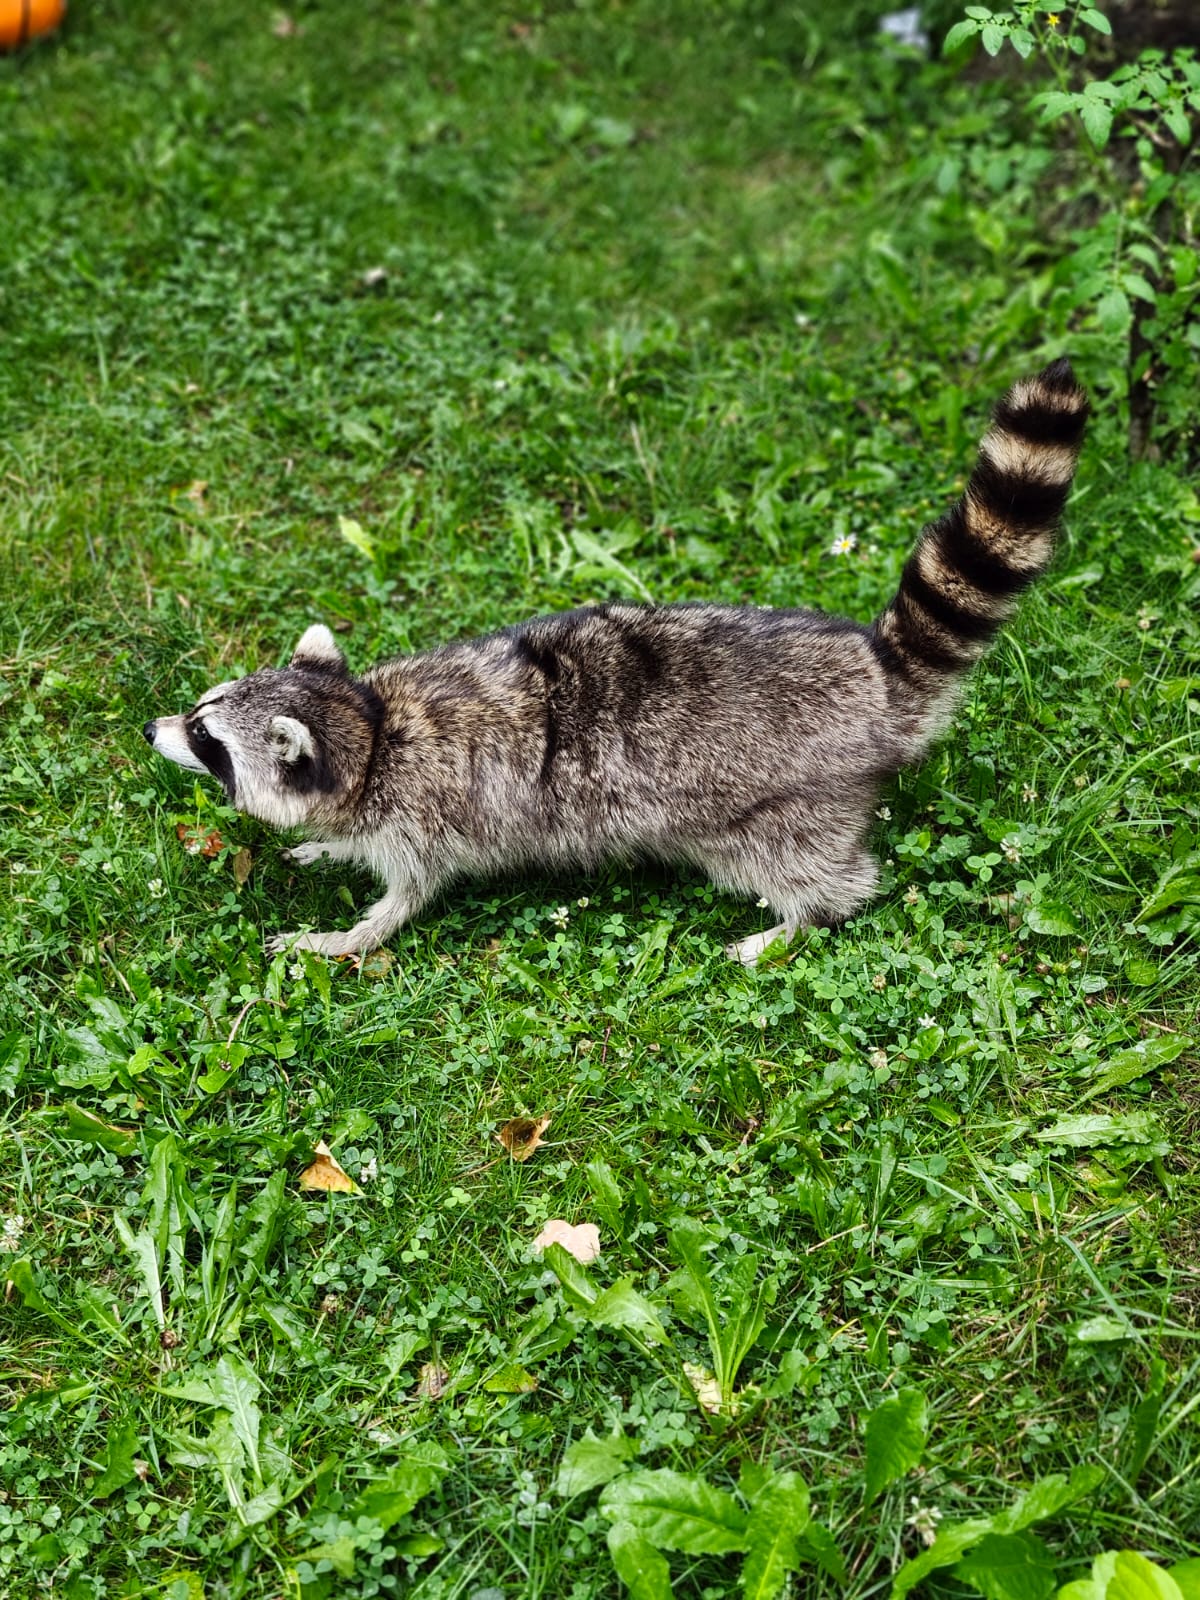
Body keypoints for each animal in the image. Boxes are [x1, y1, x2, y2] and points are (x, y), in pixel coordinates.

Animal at [144, 359, 1089, 964]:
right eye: (202, 710)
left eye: (206, 738)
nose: (153, 726)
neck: (372, 731)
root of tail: (874, 680)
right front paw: (324, 849)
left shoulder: (425, 824)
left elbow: (403, 903)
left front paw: (338, 938)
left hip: (783, 809)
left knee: (816, 871)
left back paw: (800, 920)